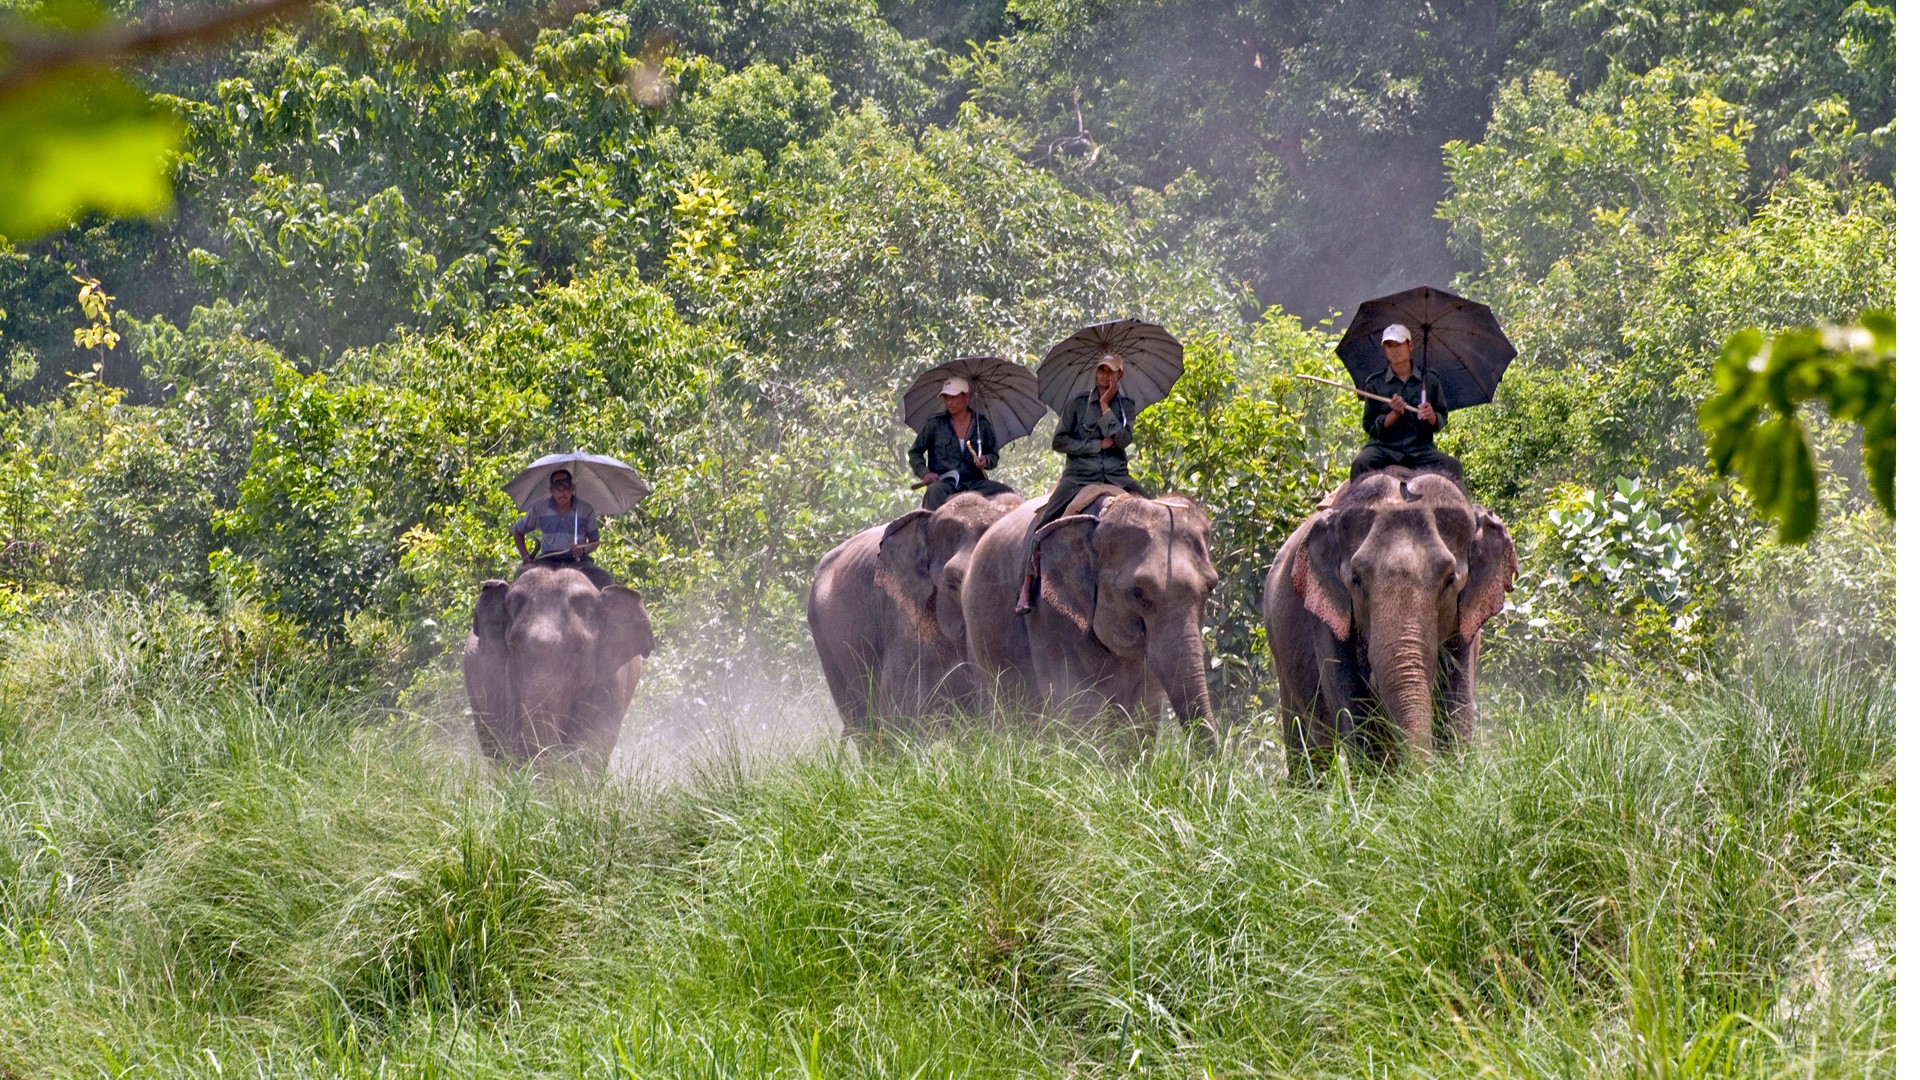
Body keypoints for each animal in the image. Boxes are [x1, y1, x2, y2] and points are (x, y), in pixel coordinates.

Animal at [1259, 466, 1512, 760]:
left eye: (1450, 580)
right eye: (1356, 580)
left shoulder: (1465, 624)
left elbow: (1456, 710)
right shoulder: (1327, 623)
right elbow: (1358, 720)